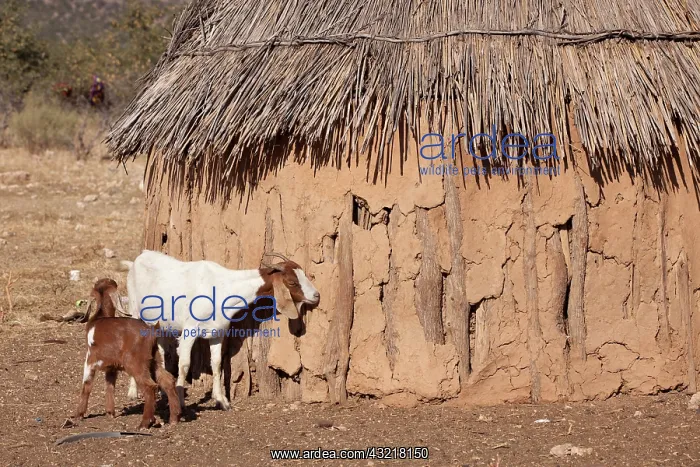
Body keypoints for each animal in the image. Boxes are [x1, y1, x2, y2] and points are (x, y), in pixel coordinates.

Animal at [75, 279, 181, 429]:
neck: (100, 316)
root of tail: (151, 332)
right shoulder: (111, 367)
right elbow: (110, 386)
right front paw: (110, 413)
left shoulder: (90, 359)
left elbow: (86, 385)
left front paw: (78, 415)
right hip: (154, 360)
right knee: (168, 380)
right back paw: (173, 419)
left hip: (135, 363)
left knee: (150, 386)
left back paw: (144, 423)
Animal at [125, 250, 320, 410]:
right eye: (292, 282)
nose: (316, 295)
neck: (223, 287)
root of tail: (139, 257)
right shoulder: (189, 330)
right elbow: (185, 364)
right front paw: (180, 401)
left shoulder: (217, 333)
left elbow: (217, 364)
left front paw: (221, 401)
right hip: (135, 311)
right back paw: (133, 392)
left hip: (160, 324)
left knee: (160, 348)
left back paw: (163, 390)